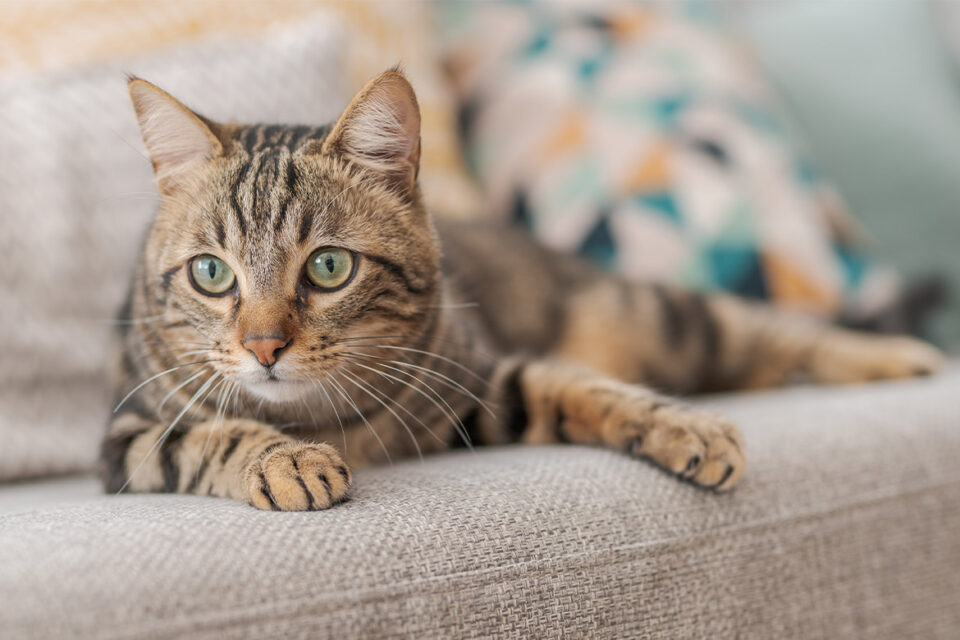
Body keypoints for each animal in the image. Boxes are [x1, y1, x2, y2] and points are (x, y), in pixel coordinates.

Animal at [101, 70, 940, 510]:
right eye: (212, 274)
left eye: (329, 268)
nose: (264, 346)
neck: (321, 417)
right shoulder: (127, 440)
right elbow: (211, 435)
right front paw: (285, 461)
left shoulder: (482, 383)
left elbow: (581, 387)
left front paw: (683, 427)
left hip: (658, 314)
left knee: (774, 331)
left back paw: (896, 357)